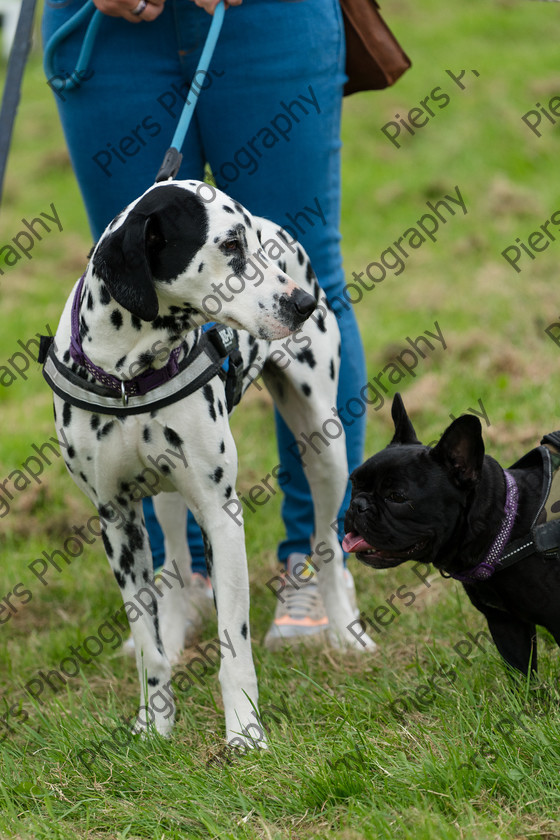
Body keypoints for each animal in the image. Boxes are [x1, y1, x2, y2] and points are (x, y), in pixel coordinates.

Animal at [46, 182, 374, 748]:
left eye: (254, 244)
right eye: (231, 245)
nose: (304, 304)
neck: (131, 373)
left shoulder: (222, 516)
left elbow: (233, 646)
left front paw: (245, 733)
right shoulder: (117, 521)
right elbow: (149, 644)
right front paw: (153, 724)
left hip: (324, 445)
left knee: (329, 547)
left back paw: (345, 631)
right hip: (167, 499)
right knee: (176, 562)